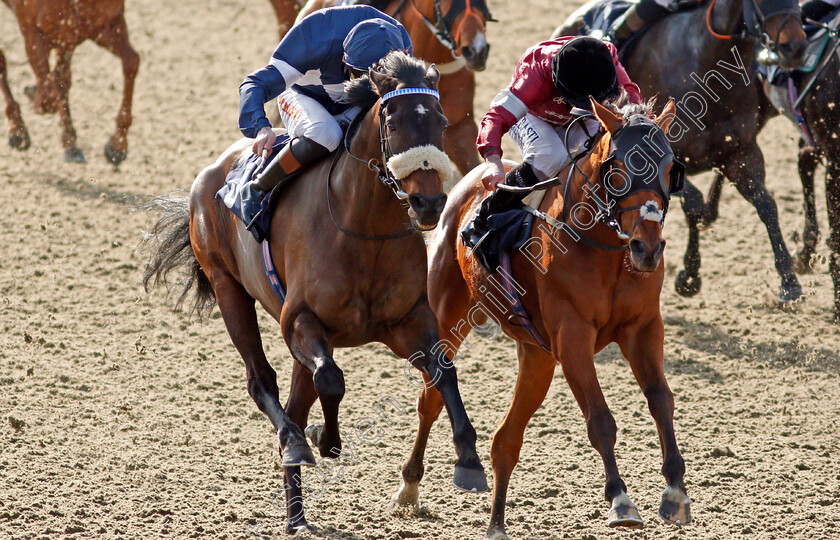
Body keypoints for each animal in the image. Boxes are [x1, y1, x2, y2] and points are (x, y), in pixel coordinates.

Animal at [0, 0, 139, 165]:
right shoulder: (33, 33)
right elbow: (49, 94)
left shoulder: (107, 24)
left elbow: (132, 62)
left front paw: (117, 146)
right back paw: (18, 132)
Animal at [143, 51, 486, 536]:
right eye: (394, 123)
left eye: (440, 121)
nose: (430, 204)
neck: (362, 229)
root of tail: (209, 173)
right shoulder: (300, 320)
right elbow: (331, 379)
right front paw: (326, 440)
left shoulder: (408, 322)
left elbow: (443, 372)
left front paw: (469, 460)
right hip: (229, 290)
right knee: (262, 381)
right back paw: (295, 448)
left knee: (296, 401)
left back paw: (297, 513)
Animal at [394, 98, 688, 536]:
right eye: (618, 167)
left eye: (670, 168)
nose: (647, 249)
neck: (603, 247)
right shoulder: (573, 336)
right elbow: (600, 419)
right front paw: (620, 499)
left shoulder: (643, 329)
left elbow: (661, 400)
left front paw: (675, 490)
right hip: (448, 315)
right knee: (431, 397)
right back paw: (412, 485)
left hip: (537, 356)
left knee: (506, 440)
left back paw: (496, 523)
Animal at [556, 0, 812, 304]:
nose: (795, 48)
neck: (704, 61)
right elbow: (693, 205)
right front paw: (690, 276)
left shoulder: (742, 152)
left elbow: (766, 205)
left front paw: (789, 281)